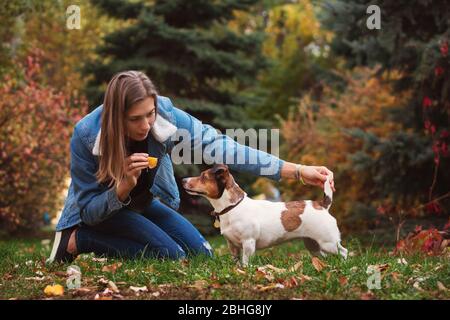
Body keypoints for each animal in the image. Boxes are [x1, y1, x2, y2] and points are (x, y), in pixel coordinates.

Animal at [183, 164, 348, 266]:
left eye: (203, 176)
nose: (183, 179)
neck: (232, 208)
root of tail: (322, 205)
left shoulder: (248, 243)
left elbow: (245, 262)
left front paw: (245, 271)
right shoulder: (232, 245)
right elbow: (236, 261)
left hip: (328, 243)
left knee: (343, 252)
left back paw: (343, 266)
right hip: (313, 244)